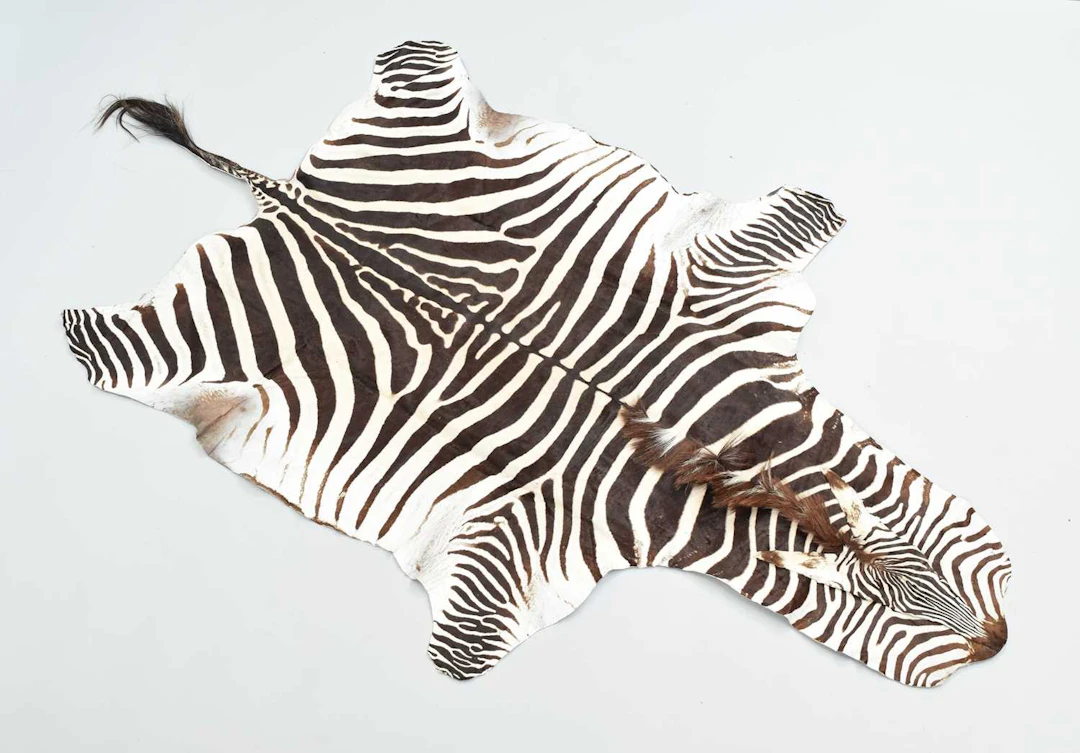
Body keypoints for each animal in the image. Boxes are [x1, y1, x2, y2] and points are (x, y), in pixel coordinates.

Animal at [62, 40, 1009, 686]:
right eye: (870, 611)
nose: (998, 644)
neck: (714, 464)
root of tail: (298, 197)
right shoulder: (521, 531)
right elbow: (468, 641)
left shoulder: (726, 284)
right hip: (166, 348)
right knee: (105, 349)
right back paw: (84, 328)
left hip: (428, 116)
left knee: (419, 61)